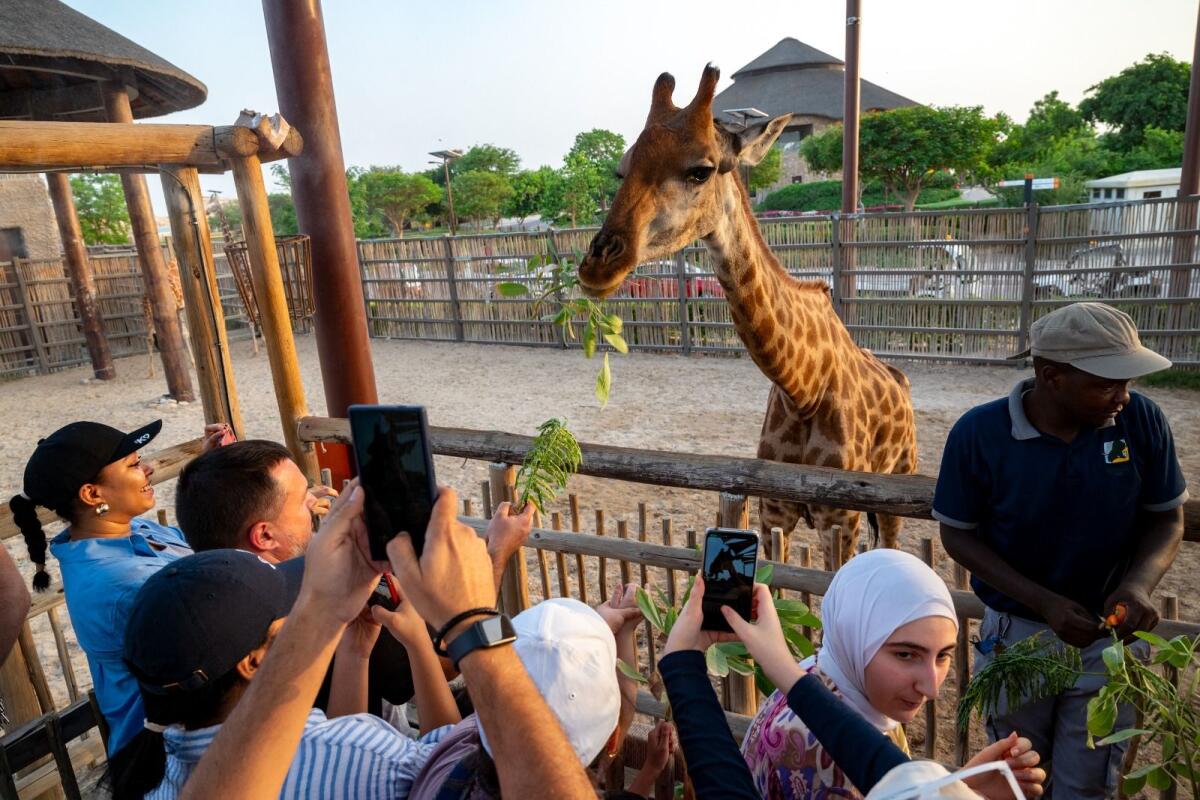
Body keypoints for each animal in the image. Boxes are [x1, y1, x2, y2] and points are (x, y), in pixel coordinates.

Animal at [576, 68, 912, 568]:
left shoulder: (840, 519)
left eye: (701, 169)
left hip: (896, 489)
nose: (597, 266)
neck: (803, 387)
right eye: (622, 169)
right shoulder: (774, 511)